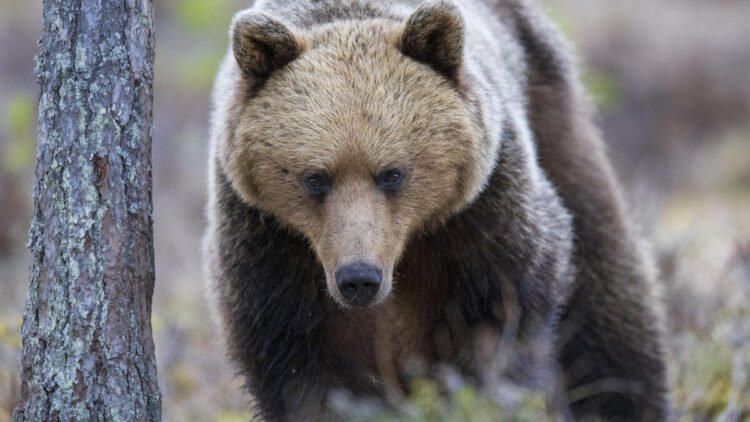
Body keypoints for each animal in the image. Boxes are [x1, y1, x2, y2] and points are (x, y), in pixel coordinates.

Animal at [202, 0, 670, 420]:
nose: (359, 278)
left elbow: (501, 324)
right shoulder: (271, 247)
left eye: (392, 174)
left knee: (608, 287)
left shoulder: (483, 218)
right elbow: (300, 370)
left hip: (554, 115)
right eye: (315, 177)